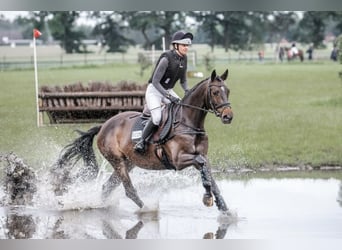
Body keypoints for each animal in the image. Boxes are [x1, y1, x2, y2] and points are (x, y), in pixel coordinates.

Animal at [53, 69, 234, 216]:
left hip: (128, 162)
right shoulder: (179, 160)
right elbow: (203, 167)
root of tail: (104, 125)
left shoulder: (200, 156)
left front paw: (225, 210)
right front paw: (207, 198)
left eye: (228, 91)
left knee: (107, 187)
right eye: (215, 92)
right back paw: (147, 208)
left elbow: (209, 175)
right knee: (128, 189)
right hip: (117, 161)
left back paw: (98, 206)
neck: (188, 122)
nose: (228, 117)